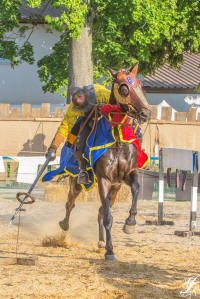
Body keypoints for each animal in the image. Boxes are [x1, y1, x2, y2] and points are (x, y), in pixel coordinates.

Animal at [59, 64, 152, 262]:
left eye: (139, 84)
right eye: (124, 87)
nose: (146, 113)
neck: (116, 140)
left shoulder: (128, 175)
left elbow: (136, 188)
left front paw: (130, 223)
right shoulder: (103, 179)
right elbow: (109, 217)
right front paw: (110, 251)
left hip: (115, 189)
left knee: (101, 210)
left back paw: (101, 241)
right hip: (77, 183)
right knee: (71, 203)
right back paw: (64, 226)